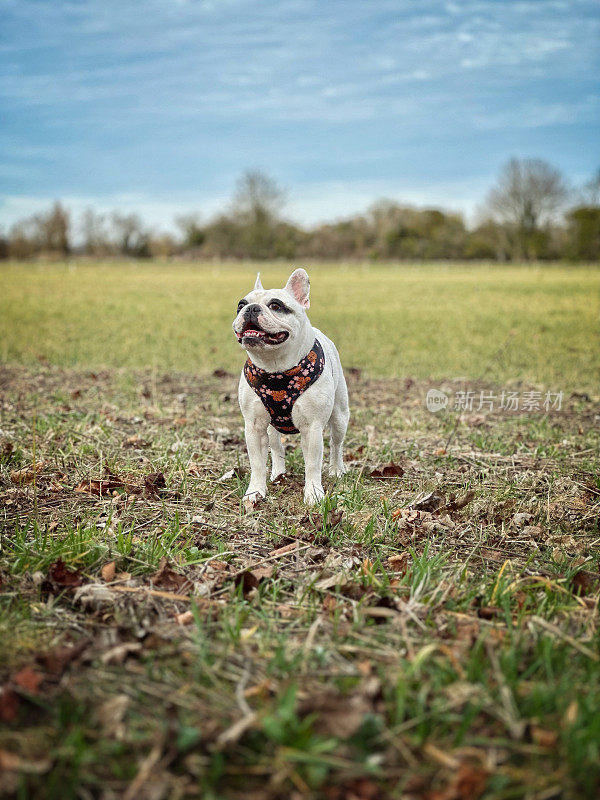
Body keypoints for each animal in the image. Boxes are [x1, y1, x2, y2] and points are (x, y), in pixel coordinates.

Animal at [232, 268, 350, 506]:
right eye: (241, 305)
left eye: (276, 306)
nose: (251, 308)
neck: (275, 368)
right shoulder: (254, 427)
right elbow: (257, 463)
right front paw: (255, 491)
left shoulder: (312, 428)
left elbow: (312, 464)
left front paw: (313, 493)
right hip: (270, 427)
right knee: (277, 447)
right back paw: (278, 474)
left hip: (340, 416)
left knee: (336, 444)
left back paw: (336, 470)